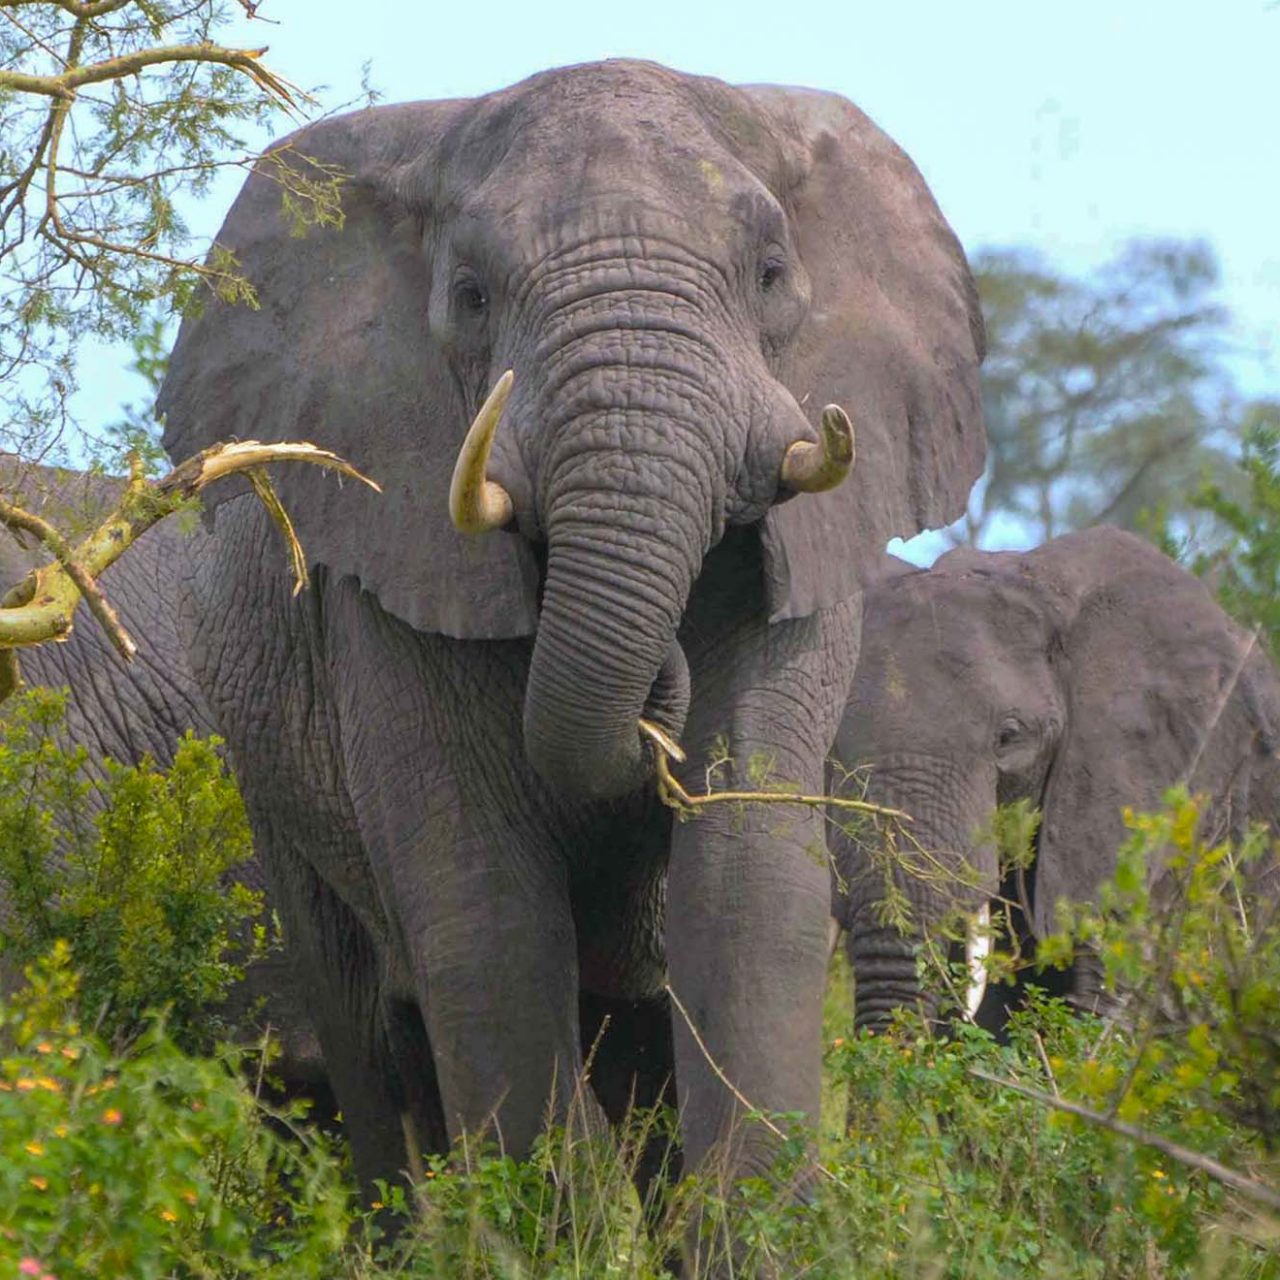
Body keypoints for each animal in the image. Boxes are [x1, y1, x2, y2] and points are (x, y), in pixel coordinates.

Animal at [152, 60, 988, 1198]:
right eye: (470, 297)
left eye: (772, 273)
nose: (658, 693)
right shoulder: (393, 560)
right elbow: (486, 915)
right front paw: (557, 1211)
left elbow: (746, 885)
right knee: (368, 1035)